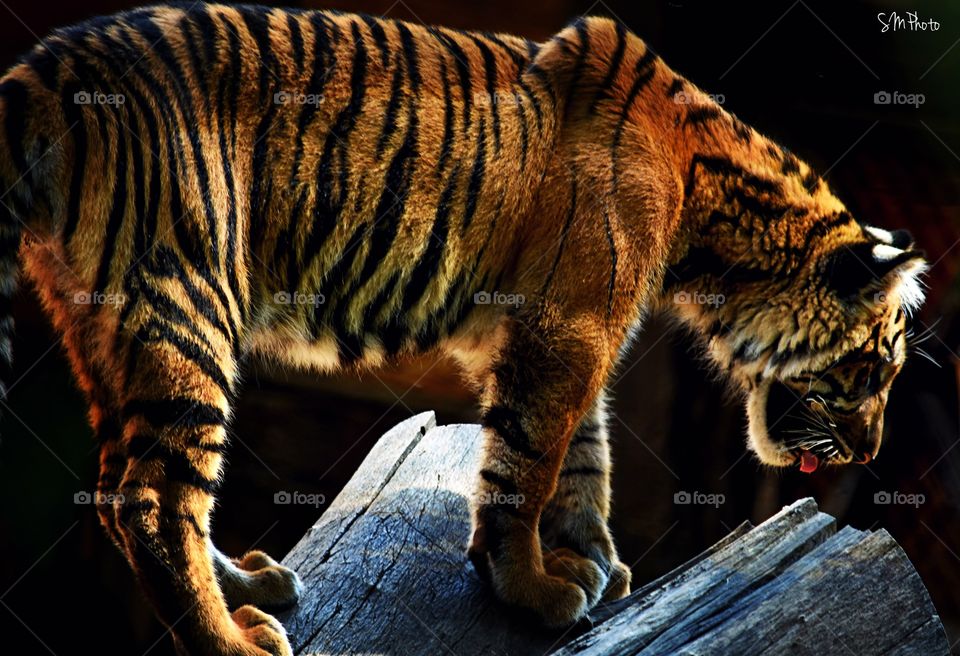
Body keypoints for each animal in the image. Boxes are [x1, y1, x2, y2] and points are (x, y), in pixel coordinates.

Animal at [0, 3, 926, 654]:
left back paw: (250, 591)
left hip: (106, 334)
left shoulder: (545, 331)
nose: (874, 451)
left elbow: (582, 454)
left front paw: (592, 564)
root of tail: (36, 72)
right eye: (873, 372)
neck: (714, 219)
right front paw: (530, 588)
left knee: (123, 486)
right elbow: (528, 464)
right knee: (152, 499)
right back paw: (234, 643)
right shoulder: (569, 326)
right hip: (188, 302)